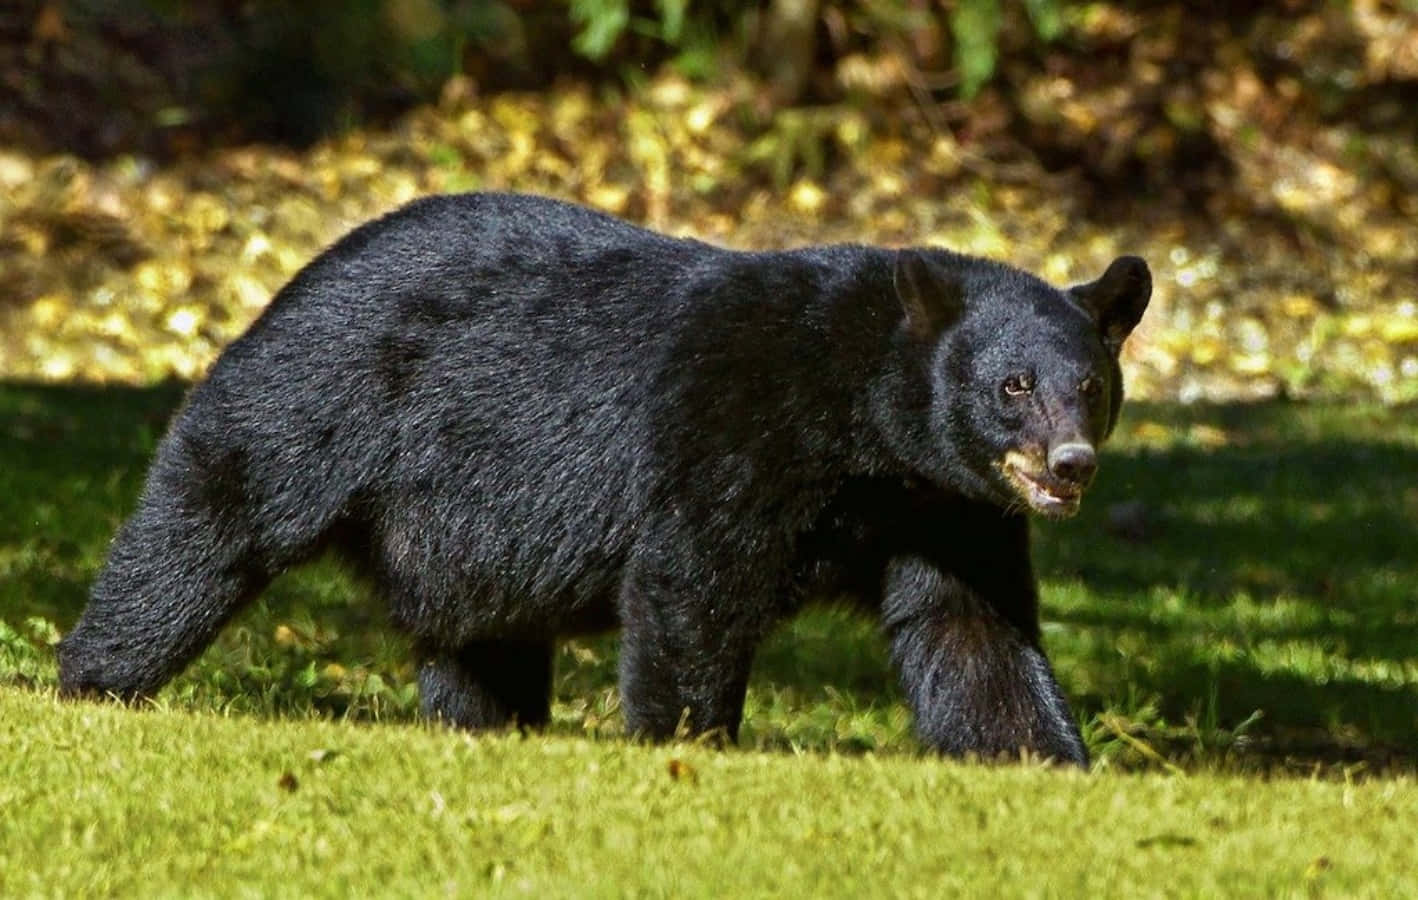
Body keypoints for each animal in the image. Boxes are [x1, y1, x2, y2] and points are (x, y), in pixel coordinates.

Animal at [57, 192, 1150, 766]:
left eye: (1090, 386)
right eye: (1012, 386)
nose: (1070, 464)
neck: (863, 426)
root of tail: (299, 272)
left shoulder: (944, 506)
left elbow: (971, 631)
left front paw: (1044, 759)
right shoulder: (733, 429)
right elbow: (692, 586)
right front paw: (688, 745)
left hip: (460, 532)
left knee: (479, 638)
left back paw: (488, 726)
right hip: (317, 398)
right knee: (209, 522)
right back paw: (94, 679)